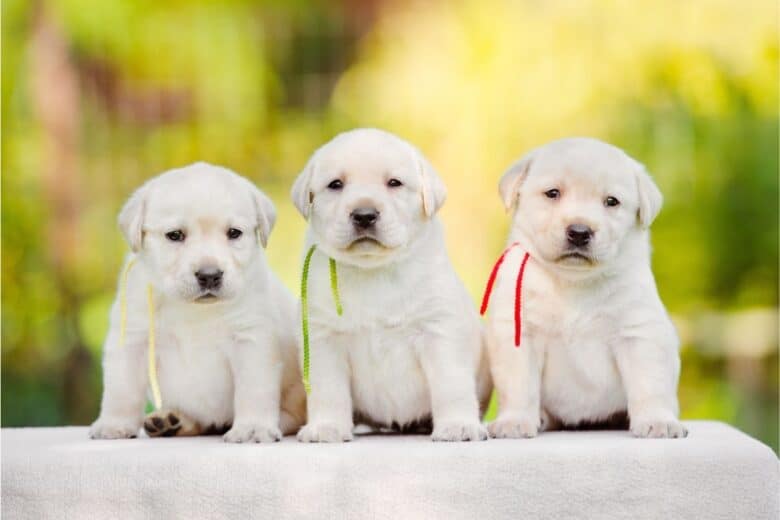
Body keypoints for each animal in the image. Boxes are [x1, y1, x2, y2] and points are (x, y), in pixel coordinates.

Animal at [87, 164, 304, 442]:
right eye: (175, 235)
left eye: (234, 233)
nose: (209, 275)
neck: (194, 310)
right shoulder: (132, 339)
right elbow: (121, 389)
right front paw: (114, 424)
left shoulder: (252, 339)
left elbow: (253, 390)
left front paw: (252, 427)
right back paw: (170, 421)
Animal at [290, 128, 490, 440]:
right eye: (335, 185)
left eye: (394, 183)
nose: (364, 215)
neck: (374, 270)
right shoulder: (324, 338)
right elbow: (328, 391)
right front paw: (326, 427)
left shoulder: (439, 330)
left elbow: (451, 384)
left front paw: (458, 425)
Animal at [484, 138, 684, 438]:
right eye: (552, 193)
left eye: (611, 201)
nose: (579, 232)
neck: (574, 282)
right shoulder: (520, 333)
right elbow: (519, 385)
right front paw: (515, 421)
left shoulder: (638, 332)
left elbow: (649, 383)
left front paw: (657, 420)